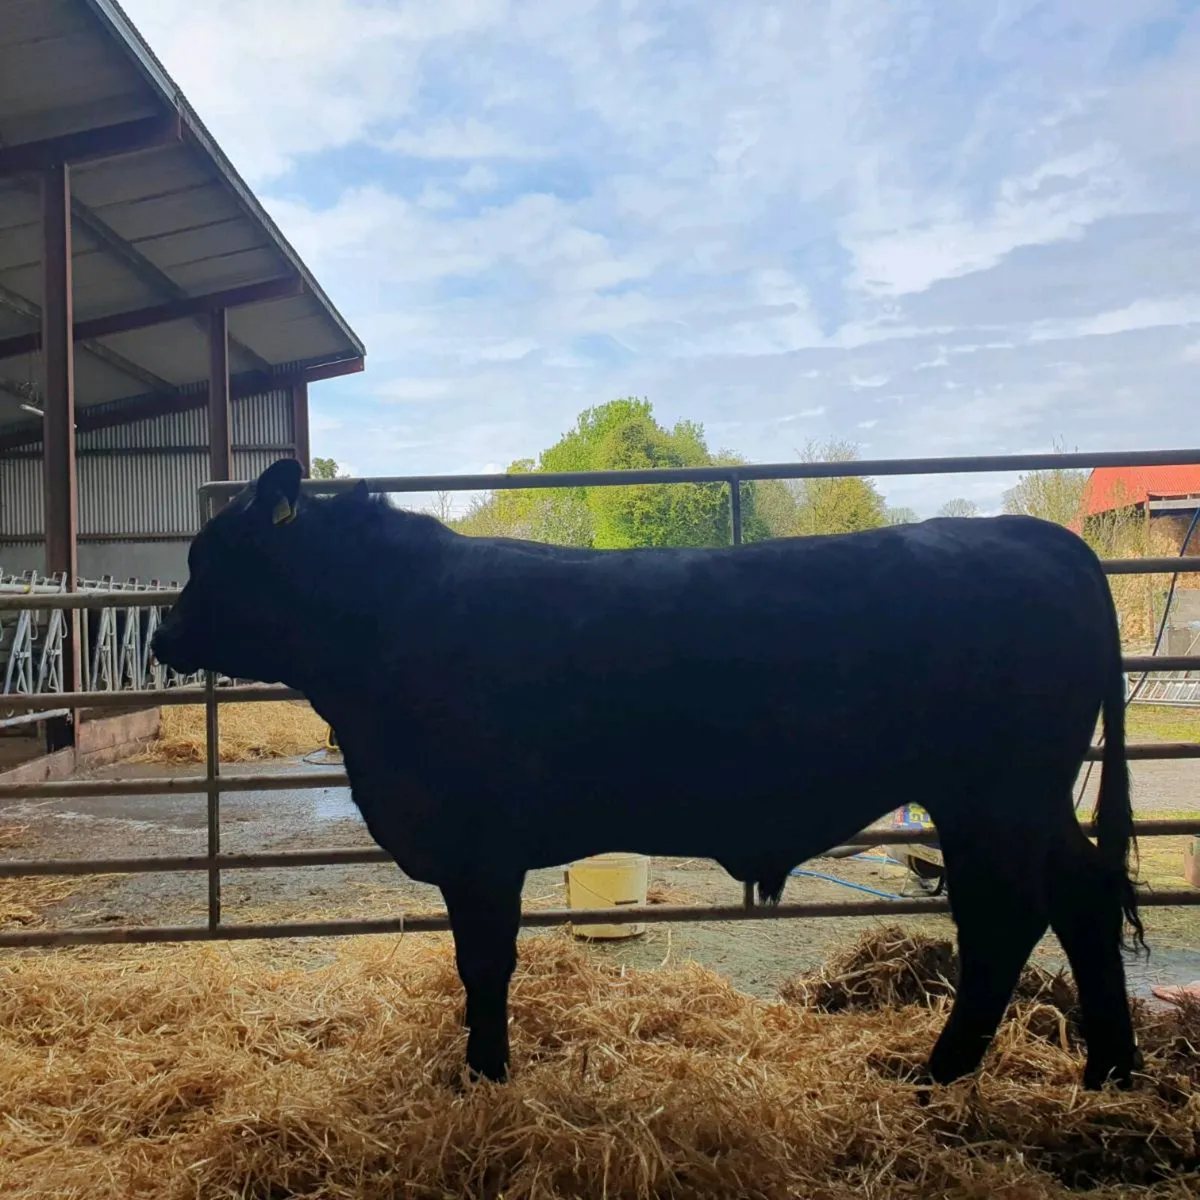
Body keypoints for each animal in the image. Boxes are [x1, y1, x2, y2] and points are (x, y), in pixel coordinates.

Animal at [151, 458, 1145, 1092]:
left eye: (212, 557)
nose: (163, 636)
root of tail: (1039, 538)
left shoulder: (479, 849)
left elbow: (485, 964)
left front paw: (483, 1077)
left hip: (992, 798)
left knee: (1005, 921)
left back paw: (938, 1077)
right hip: (1026, 799)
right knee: (1086, 894)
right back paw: (1109, 1073)